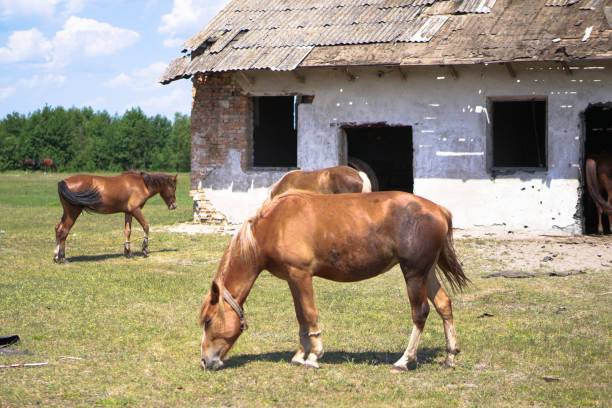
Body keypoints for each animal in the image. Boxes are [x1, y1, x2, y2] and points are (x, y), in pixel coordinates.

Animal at [201, 190, 468, 372]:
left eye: (209, 321)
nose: (205, 360)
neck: (274, 224)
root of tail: (439, 210)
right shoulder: (292, 279)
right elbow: (301, 317)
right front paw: (300, 355)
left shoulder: (301, 275)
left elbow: (310, 315)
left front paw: (314, 357)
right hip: (426, 272)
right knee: (444, 305)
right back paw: (450, 357)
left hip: (414, 273)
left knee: (420, 312)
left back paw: (404, 360)